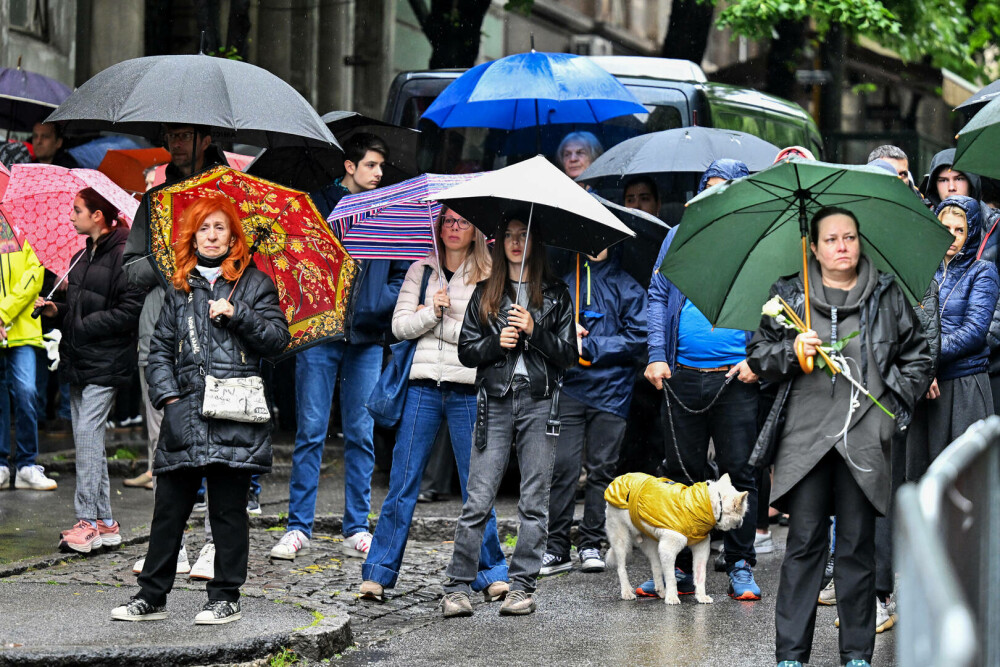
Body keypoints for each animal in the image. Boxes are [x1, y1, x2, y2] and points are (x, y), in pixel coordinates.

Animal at [600, 472, 752, 608]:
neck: (703, 504)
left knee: (655, 566)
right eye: (742, 514)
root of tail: (619, 478)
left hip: (652, 542)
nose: (742, 523)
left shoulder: (701, 549)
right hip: (621, 540)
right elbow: (671, 577)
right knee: (621, 568)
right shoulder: (668, 550)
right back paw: (627, 591)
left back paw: (661, 591)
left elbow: (700, 575)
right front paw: (672, 597)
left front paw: (701, 596)